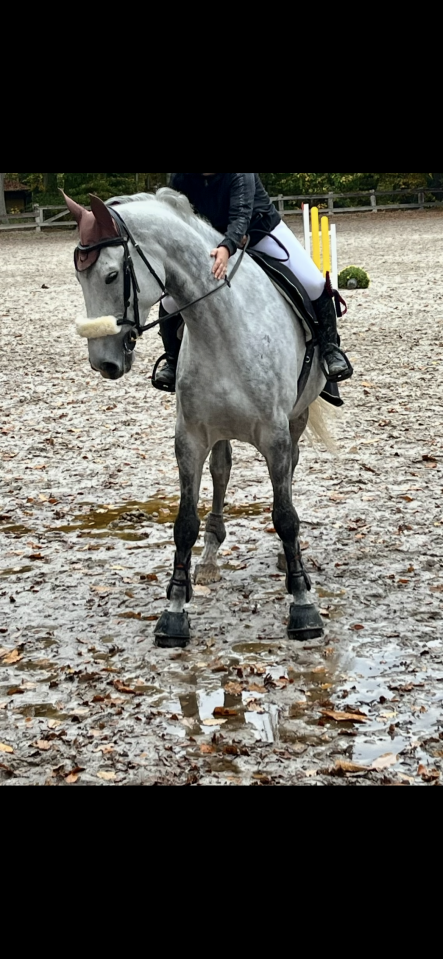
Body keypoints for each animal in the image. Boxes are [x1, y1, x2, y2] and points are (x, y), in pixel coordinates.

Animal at [64, 188, 332, 649]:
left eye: (112, 276)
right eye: (80, 279)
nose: (104, 363)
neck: (220, 324)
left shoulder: (276, 436)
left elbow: (284, 515)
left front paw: (302, 605)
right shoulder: (189, 439)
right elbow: (184, 523)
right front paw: (174, 610)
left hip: (295, 419)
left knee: (289, 470)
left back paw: (284, 558)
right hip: (219, 429)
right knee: (222, 471)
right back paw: (207, 558)